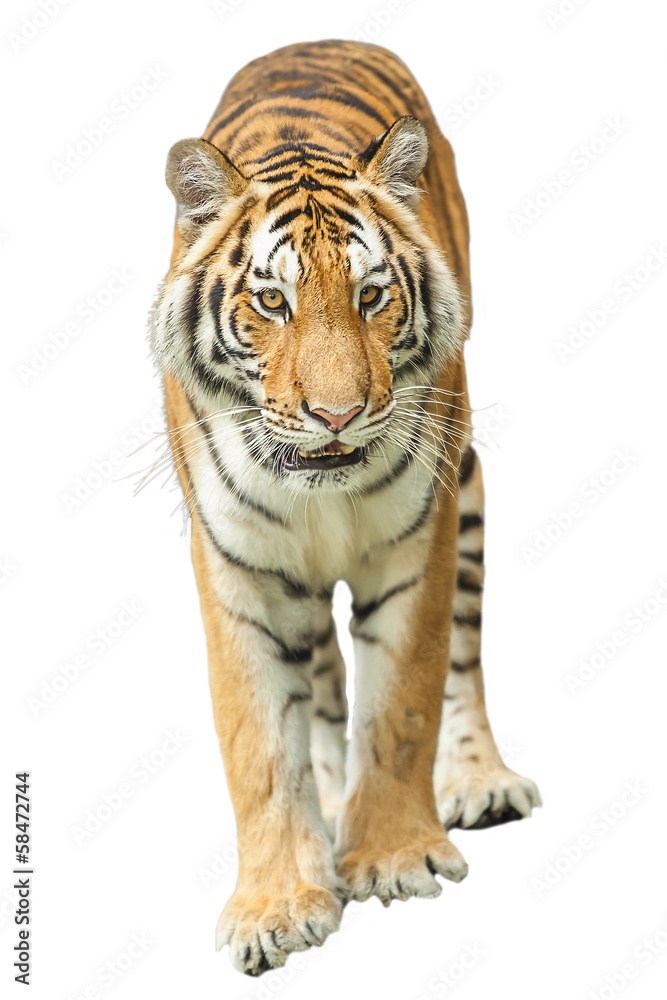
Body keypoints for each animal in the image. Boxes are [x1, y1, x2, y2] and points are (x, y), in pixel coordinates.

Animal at [149, 38, 541, 976]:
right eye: (271, 302)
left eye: (369, 296)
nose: (335, 414)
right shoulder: (237, 571)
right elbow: (257, 742)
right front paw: (274, 907)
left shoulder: (419, 538)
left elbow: (402, 701)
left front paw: (393, 858)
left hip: (468, 487)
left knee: (462, 659)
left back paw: (479, 782)